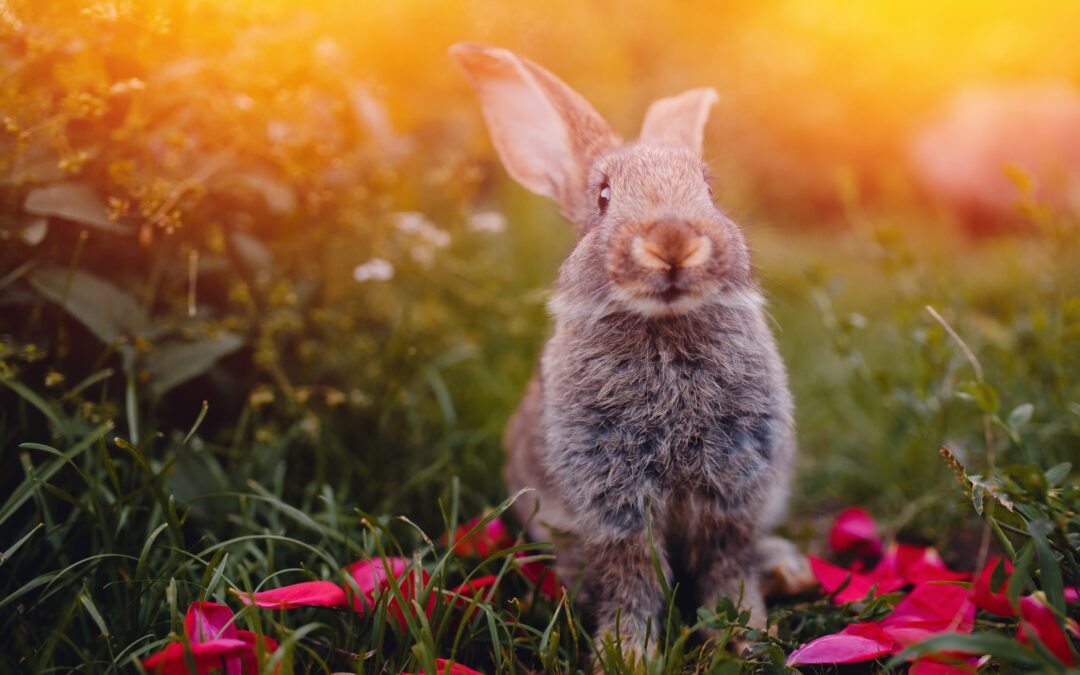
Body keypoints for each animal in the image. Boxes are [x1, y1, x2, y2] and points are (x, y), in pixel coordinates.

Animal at [450, 43, 810, 661]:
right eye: (603, 197)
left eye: (709, 190)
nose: (673, 242)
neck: (663, 331)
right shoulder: (611, 501)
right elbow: (632, 576)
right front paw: (626, 655)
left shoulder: (735, 489)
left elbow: (727, 569)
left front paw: (747, 641)